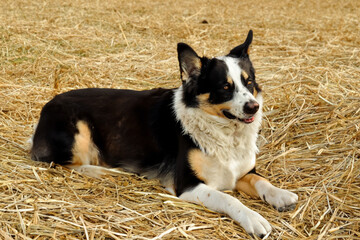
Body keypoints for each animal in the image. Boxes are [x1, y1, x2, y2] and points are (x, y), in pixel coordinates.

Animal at [30, 30, 298, 238]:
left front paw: (281, 195)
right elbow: (229, 199)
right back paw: (102, 171)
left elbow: (262, 181)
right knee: (62, 163)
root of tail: (47, 105)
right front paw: (253, 218)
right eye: (224, 87)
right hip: (78, 132)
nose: (254, 106)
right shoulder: (187, 185)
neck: (223, 132)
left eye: (249, 82)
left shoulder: (242, 172)